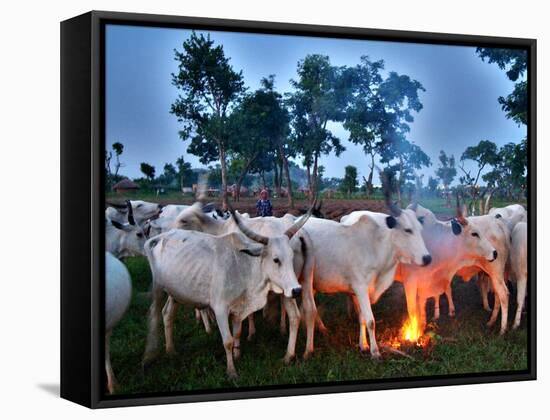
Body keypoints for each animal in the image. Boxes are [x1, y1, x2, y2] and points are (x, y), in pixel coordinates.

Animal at [143, 210, 306, 378]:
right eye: (276, 259)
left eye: (291, 257)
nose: (297, 290)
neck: (242, 265)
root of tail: (159, 238)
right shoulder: (220, 308)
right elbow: (227, 340)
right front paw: (231, 371)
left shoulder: (239, 308)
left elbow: (237, 333)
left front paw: (237, 355)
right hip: (158, 289)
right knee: (154, 315)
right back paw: (149, 356)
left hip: (176, 292)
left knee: (167, 314)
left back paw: (170, 350)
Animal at [302, 202, 436, 360]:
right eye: (407, 230)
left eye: (420, 229)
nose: (427, 258)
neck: (376, 247)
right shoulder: (360, 288)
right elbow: (370, 321)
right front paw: (375, 351)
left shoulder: (361, 292)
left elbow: (363, 318)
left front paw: (363, 345)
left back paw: (322, 329)